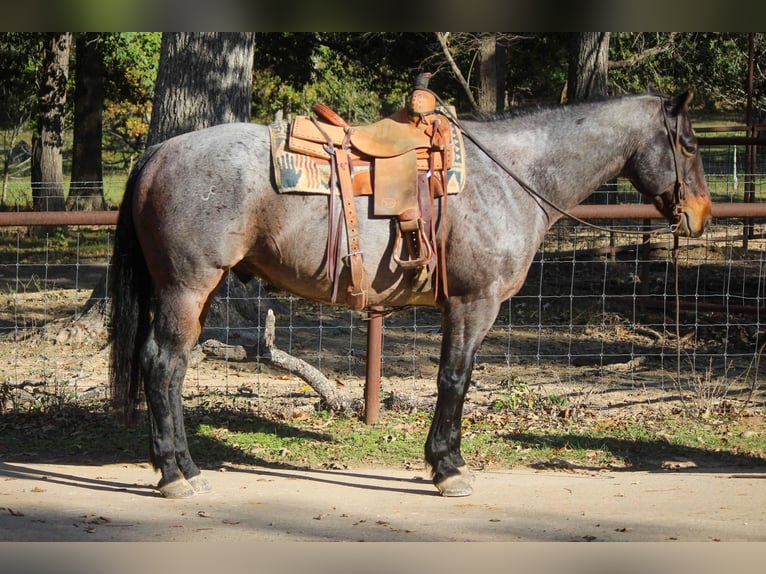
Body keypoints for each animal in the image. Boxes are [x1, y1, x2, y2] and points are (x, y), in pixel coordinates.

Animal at [108, 90, 712, 500]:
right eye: (687, 144)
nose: (701, 215)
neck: (509, 177)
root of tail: (159, 151)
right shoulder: (474, 304)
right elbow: (454, 379)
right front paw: (448, 468)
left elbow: (452, 379)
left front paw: (443, 463)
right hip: (186, 287)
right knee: (161, 364)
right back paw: (173, 475)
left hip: (199, 291)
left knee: (175, 368)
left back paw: (186, 468)